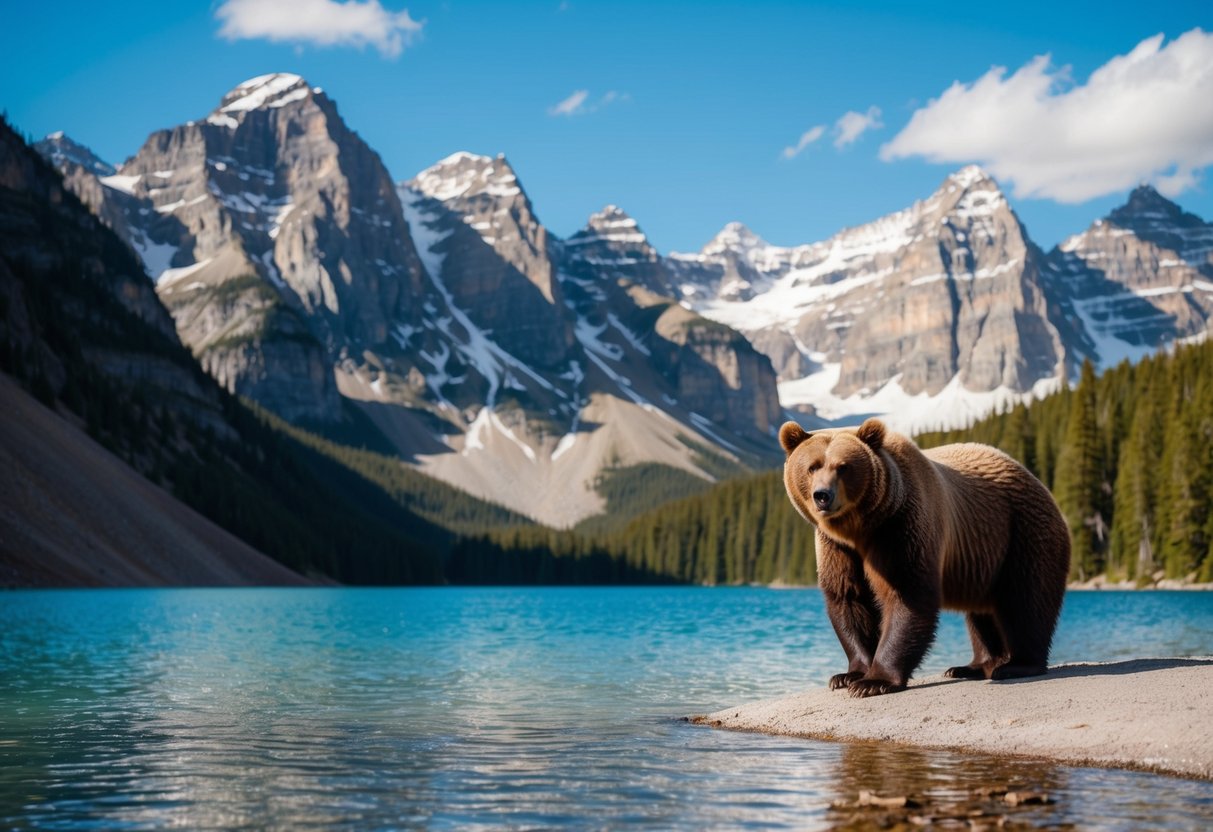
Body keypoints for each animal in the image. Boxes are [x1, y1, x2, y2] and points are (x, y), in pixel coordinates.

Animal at [781, 417, 1067, 698]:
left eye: (843, 467)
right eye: (812, 467)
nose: (822, 496)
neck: (859, 529)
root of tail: (1038, 483)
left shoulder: (901, 525)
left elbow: (907, 593)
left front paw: (874, 681)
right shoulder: (837, 548)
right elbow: (849, 597)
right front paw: (848, 675)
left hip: (1021, 533)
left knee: (1027, 600)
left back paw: (1017, 664)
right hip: (984, 560)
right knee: (982, 613)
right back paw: (972, 666)